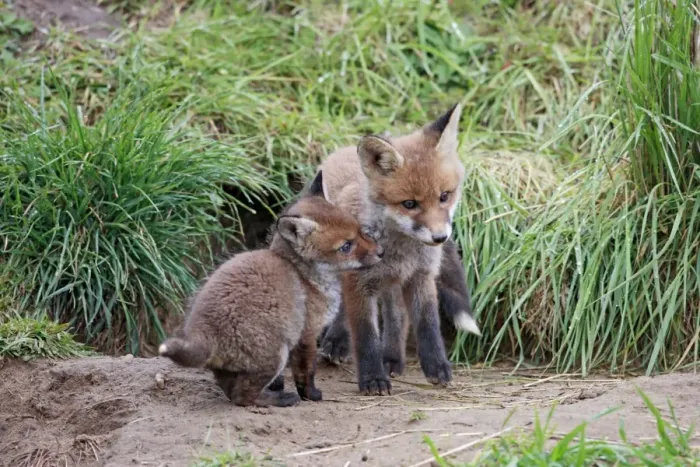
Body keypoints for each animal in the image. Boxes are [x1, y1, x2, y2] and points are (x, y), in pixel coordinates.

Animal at [158, 171, 384, 407]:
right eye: (346, 246)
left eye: (360, 231)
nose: (381, 252)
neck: (302, 275)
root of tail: (203, 330)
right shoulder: (307, 334)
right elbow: (306, 372)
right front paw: (311, 395)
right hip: (276, 354)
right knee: (242, 397)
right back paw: (279, 399)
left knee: (230, 391)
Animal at [316, 103, 472, 394]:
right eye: (409, 204)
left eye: (444, 196)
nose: (440, 237)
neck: (403, 251)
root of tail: (344, 149)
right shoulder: (358, 284)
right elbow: (365, 335)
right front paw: (372, 379)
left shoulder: (422, 276)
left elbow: (427, 324)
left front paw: (437, 367)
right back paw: (339, 341)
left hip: (394, 283)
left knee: (396, 314)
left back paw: (392, 358)